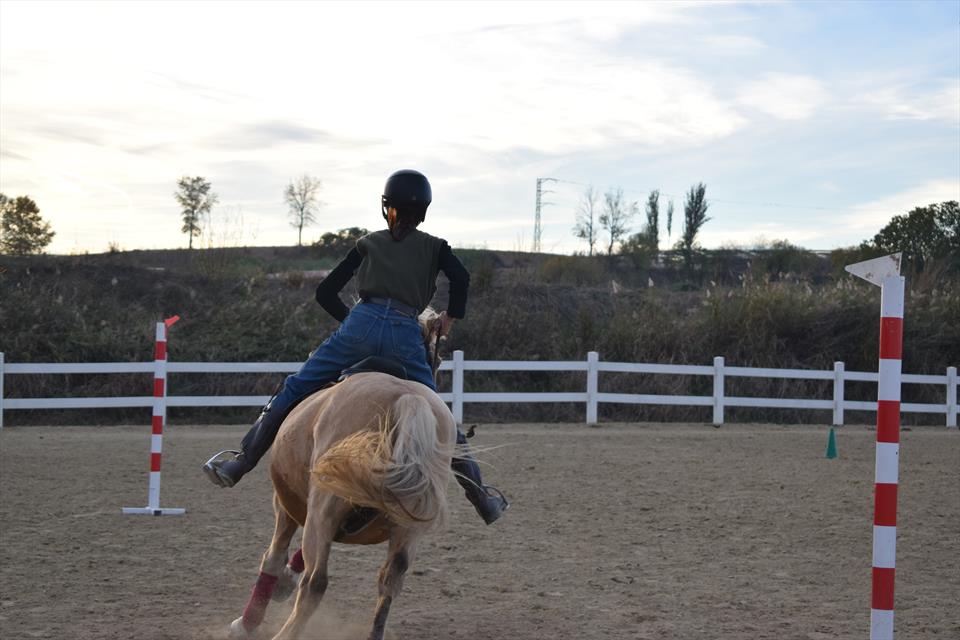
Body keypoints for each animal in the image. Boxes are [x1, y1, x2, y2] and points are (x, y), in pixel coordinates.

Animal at [226, 310, 455, 640]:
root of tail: (407, 399)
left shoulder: (287, 504)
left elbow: (273, 557)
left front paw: (247, 623)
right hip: (406, 527)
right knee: (390, 580)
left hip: (325, 505)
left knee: (315, 583)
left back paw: (284, 632)